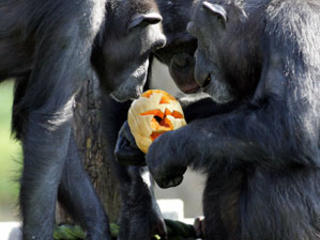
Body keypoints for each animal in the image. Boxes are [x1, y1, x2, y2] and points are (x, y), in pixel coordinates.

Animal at [0, 0, 165, 238]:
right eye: (152, 50)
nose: (143, 75)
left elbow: (42, 128)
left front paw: (99, 227)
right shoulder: (78, 17)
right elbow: (51, 122)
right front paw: (38, 232)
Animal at [144, 0, 320, 240]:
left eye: (196, 37)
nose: (192, 62)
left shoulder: (294, 29)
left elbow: (294, 121)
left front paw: (167, 149)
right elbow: (242, 104)